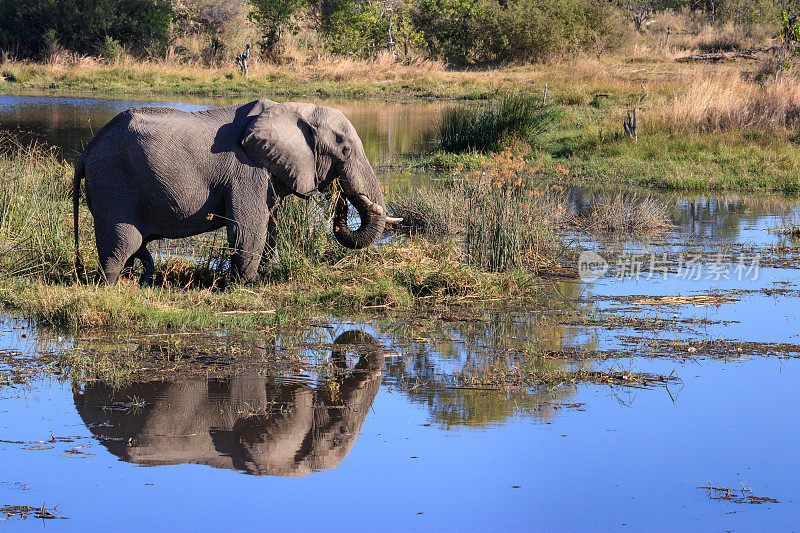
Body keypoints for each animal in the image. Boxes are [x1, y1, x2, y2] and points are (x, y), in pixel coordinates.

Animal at [72, 98, 396, 284]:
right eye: (345, 150)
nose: (339, 195)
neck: (295, 109)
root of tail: (87, 152)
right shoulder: (246, 170)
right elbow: (248, 227)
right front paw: (247, 284)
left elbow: (270, 223)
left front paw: (267, 274)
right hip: (113, 184)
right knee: (121, 244)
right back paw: (111, 286)